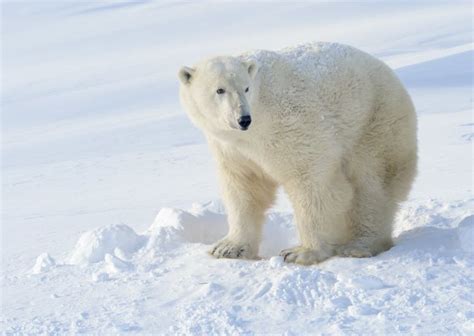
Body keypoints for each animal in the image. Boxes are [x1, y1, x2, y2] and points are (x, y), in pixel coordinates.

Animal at [180, 42, 416, 264]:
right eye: (220, 90)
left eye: (246, 88)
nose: (243, 119)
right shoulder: (232, 149)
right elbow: (244, 187)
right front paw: (228, 248)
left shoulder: (290, 125)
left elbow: (311, 180)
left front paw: (301, 252)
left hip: (376, 122)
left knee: (371, 184)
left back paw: (359, 245)